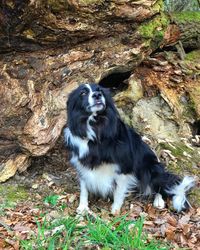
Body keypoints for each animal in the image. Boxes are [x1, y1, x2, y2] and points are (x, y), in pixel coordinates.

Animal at [64, 83, 195, 214]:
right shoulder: (82, 164)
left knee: (160, 185)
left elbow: (119, 191)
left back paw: (159, 201)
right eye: (83, 93)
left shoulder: (124, 166)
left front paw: (115, 210)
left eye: (100, 90)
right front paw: (83, 207)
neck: (96, 126)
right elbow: (84, 187)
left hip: (150, 168)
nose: (97, 95)